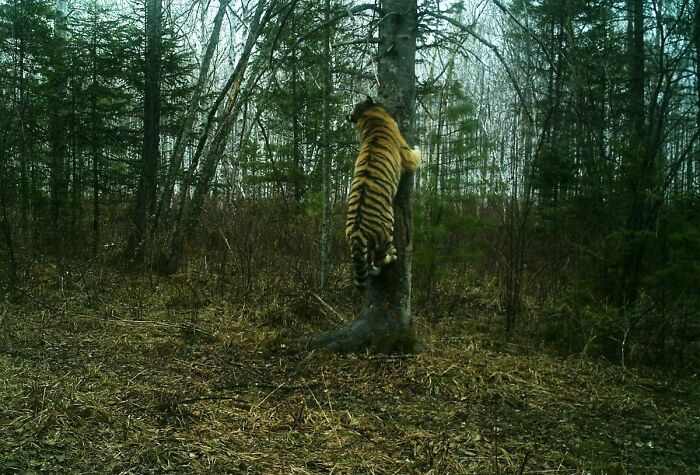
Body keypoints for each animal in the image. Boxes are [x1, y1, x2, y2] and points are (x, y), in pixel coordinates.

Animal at [345, 96, 421, 288]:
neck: (370, 120)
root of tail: (357, 232)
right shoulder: (405, 153)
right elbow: (416, 155)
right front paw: (419, 146)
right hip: (387, 228)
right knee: (381, 257)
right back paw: (392, 255)